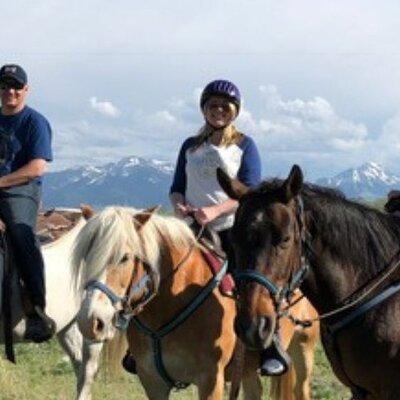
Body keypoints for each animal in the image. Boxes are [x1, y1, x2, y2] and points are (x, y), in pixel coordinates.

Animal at [72, 206, 318, 400]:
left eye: (124, 257)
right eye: (86, 256)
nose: (90, 321)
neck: (171, 302)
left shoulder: (210, 380)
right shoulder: (153, 382)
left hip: (304, 348)